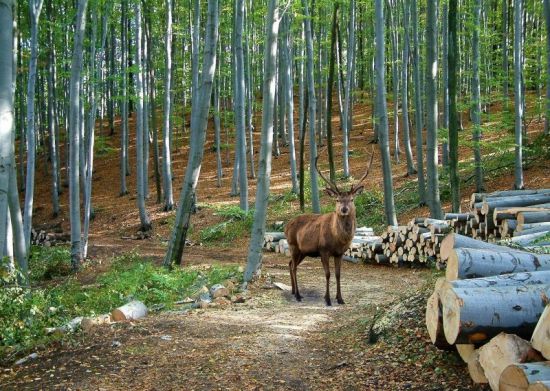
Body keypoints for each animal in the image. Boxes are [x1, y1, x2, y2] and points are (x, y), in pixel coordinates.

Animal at [284, 150, 376, 306]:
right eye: (337, 200)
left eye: (352, 199)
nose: (344, 209)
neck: (338, 239)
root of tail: (286, 226)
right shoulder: (323, 250)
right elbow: (327, 274)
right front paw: (327, 299)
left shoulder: (339, 253)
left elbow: (338, 275)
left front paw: (340, 298)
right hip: (293, 245)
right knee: (294, 267)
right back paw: (298, 295)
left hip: (303, 251)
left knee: (290, 264)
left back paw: (293, 291)